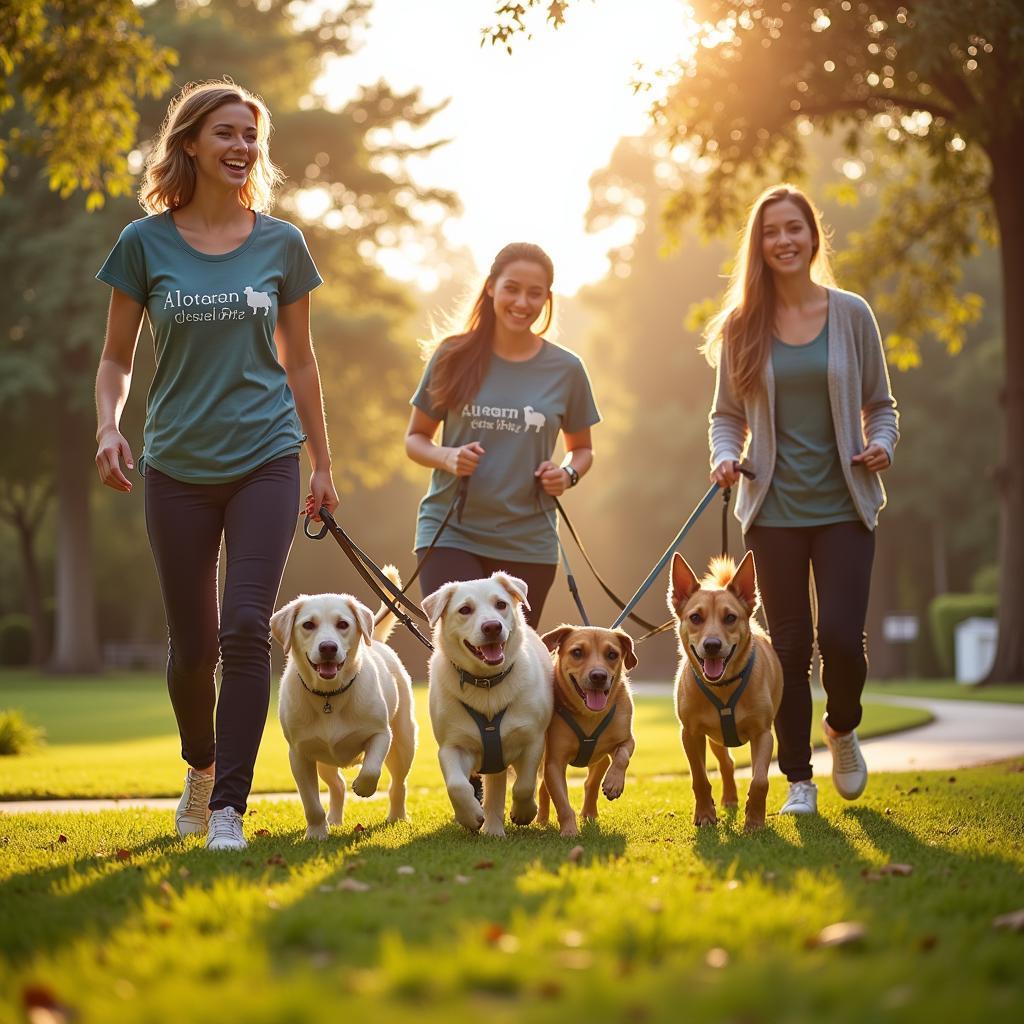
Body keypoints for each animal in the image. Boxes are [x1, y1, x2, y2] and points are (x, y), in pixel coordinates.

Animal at [272, 569, 419, 839]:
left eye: (343, 624)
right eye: (308, 625)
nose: (328, 647)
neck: (329, 696)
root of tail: (377, 640)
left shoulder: (381, 734)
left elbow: (371, 769)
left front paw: (363, 786)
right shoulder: (299, 754)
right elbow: (311, 803)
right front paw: (317, 833)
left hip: (403, 743)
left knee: (398, 784)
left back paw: (397, 816)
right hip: (323, 761)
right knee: (337, 785)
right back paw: (334, 819)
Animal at [421, 573, 557, 835]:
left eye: (501, 604)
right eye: (465, 610)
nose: (492, 626)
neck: (487, 684)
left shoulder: (532, 740)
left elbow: (524, 785)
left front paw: (524, 812)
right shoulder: (452, 746)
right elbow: (457, 785)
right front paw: (470, 815)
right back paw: (492, 828)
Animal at [536, 626, 638, 835]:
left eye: (612, 654)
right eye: (577, 652)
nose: (598, 676)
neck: (589, 714)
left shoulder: (626, 739)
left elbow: (623, 755)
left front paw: (614, 782)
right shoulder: (554, 762)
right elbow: (562, 802)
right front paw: (569, 830)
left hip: (599, 759)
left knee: (591, 782)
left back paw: (590, 813)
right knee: (543, 789)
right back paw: (541, 819)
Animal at [667, 552, 778, 831]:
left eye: (730, 618)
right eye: (696, 617)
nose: (712, 645)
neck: (724, 687)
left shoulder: (763, 734)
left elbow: (760, 780)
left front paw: (754, 820)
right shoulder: (690, 734)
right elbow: (699, 777)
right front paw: (705, 815)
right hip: (715, 737)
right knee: (726, 763)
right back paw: (729, 797)